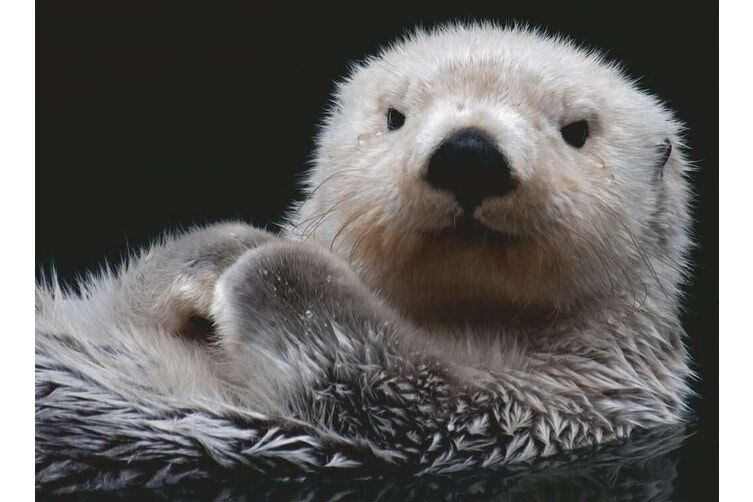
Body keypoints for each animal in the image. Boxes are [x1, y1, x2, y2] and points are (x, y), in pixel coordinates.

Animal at [36, 24, 693, 491]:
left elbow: (387, 380)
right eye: (395, 116)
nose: (470, 154)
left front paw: (267, 263)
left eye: (577, 130)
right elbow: (125, 298)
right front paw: (221, 252)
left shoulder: (550, 407)